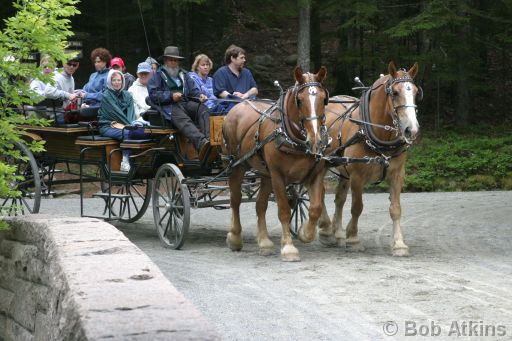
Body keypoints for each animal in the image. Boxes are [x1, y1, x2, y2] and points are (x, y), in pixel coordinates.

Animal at [223, 67, 330, 262]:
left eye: (324, 99)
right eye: (299, 100)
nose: (315, 140)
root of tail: (238, 106)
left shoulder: (316, 174)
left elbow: (315, 208)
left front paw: (305, 233)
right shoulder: (278, 175)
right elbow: (284, 210)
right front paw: (288, 247)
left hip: (265, 174)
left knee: (260, 205)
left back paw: (264, 242)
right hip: (237, 166)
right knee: (236, 200)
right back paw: (234, 237)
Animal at [320, 61, 420, 255]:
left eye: (416, 92)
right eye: (395, 92)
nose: (411, 130)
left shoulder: (397, 174)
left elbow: (395, 209)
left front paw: (399, 244)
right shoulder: (357, 176)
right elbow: (357, 207)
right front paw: (353, 239)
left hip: (343, 170)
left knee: (339, 199)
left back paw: (338, 233)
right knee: (319, 193)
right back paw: (326, 230)